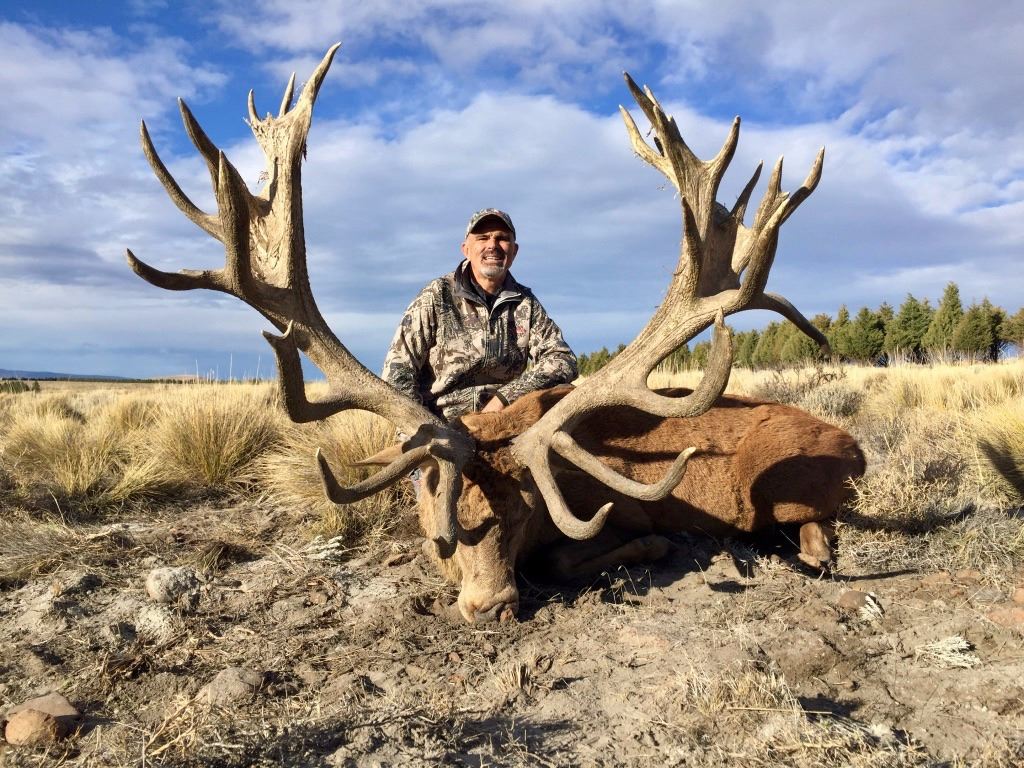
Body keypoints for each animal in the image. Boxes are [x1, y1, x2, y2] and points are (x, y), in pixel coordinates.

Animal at [128, 44, 865, 624]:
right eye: (441, 530)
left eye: (521, 518)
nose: (493, 606)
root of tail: (857, 449)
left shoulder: (626, 512)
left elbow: (592, 553)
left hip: (789, 487)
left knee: (819, 536)